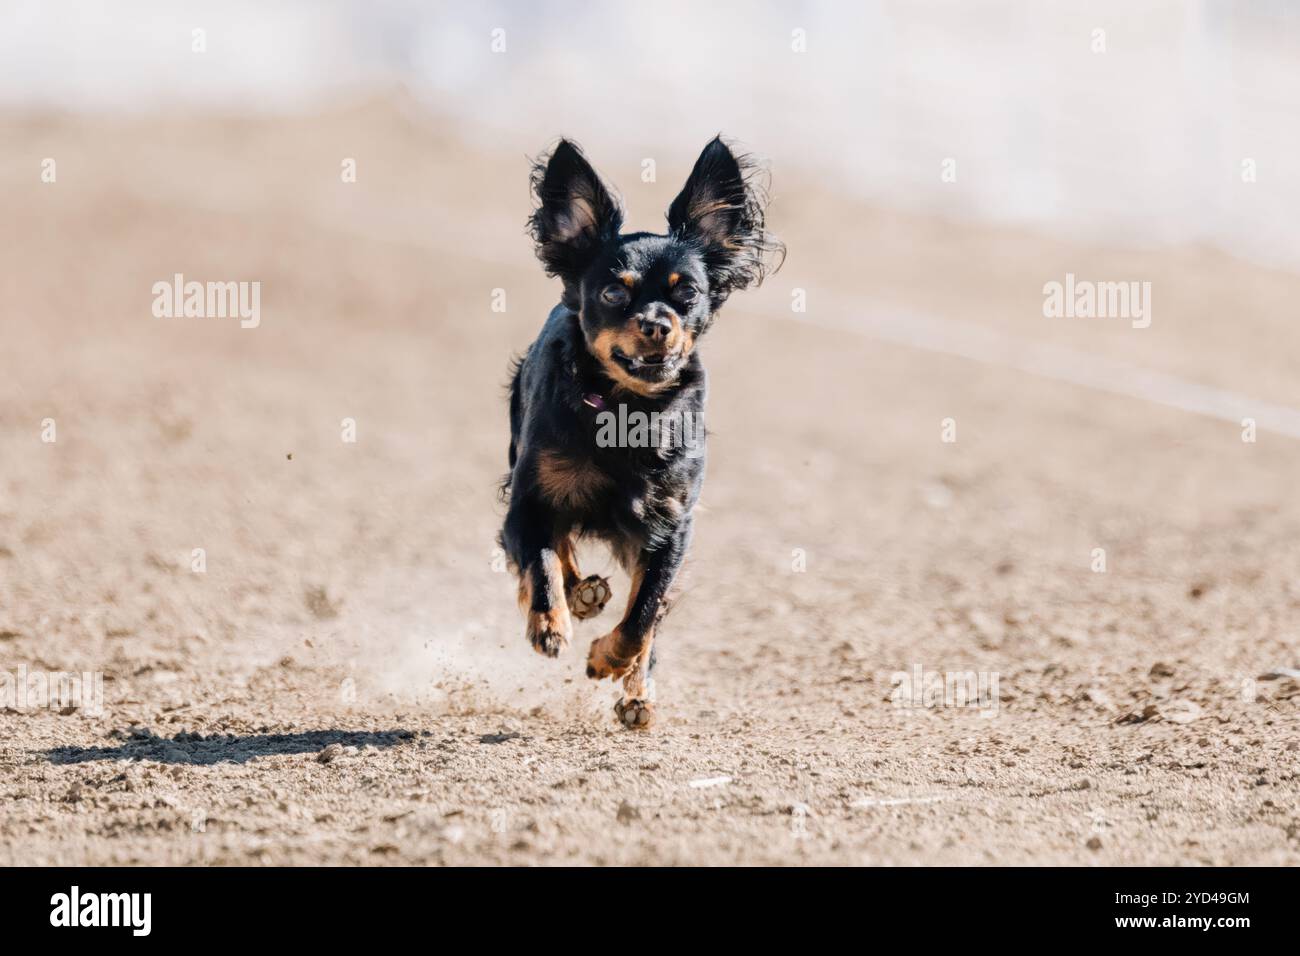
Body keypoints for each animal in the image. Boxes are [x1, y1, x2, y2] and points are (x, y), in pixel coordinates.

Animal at [496, 134, 780, 728]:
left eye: (687, 292)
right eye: (612, 294)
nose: (655, 323)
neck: (627, 410)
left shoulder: (670, 529)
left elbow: (644, 615)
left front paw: (613, 662)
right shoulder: (527, 501)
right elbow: (541, 558)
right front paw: (550, 621)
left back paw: (636, 689)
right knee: (560, 546)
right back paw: (579, 596)